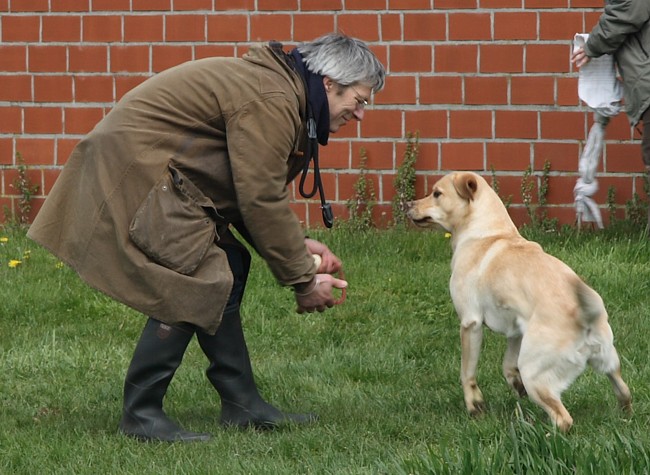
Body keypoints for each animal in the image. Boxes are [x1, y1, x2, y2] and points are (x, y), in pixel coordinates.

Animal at [404, 173, 628, 434]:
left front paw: (474, 406)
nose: (407, 204)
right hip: (609, 363)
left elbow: (467, 373)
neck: (489, 233)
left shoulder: (470, 323)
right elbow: (508, 366)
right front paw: (515, 384)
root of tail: (586, 316)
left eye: (437, 193)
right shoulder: (516, 329)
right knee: (624, 392)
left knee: (564, 419)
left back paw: (541, 434)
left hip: (535, 375)